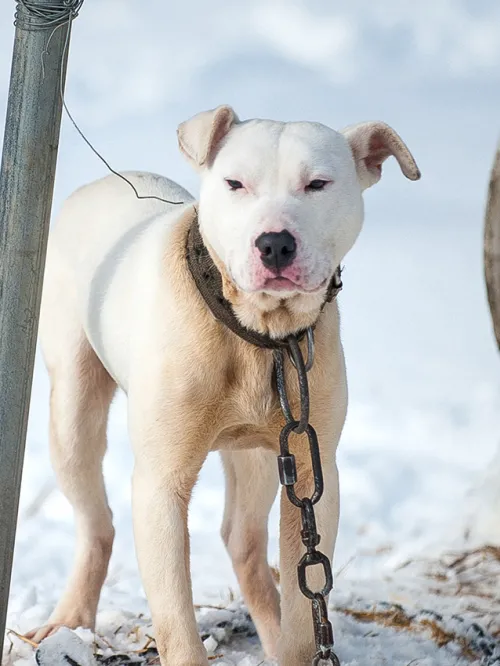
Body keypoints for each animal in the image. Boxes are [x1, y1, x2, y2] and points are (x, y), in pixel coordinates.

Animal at [31, 105, 420, 664]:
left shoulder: (313, 472)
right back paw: (70, 619)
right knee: (97, 522)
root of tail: (102, 182)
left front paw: (295, 644)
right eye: (235, 183)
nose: (275, 244)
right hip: (73, 412)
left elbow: (304, 605)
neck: (256, 334)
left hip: (261, 455)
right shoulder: (160, 484)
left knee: (244, 543)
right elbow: (176, 622)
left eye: (318, 184)